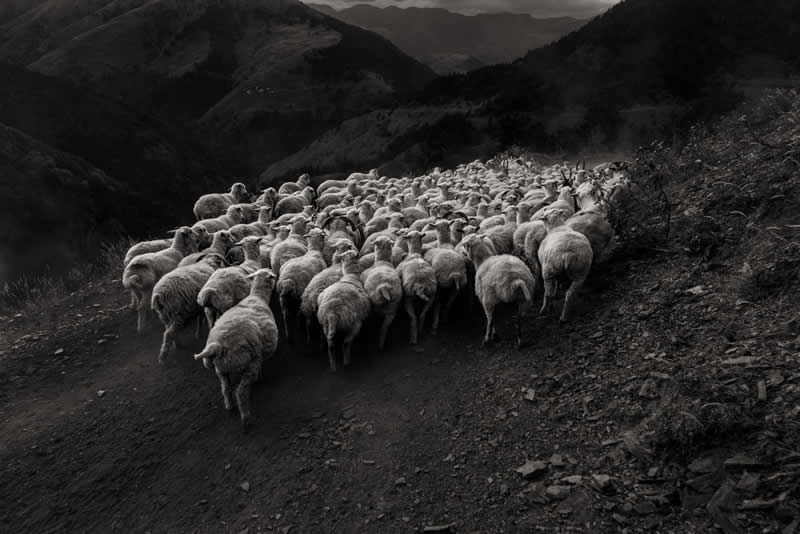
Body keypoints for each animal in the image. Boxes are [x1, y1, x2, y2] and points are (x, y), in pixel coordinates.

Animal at [194, 268, 279, 430]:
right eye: (270, 275)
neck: (257, 296)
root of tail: (217, 346)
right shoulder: (258, 356)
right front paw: (261, 377)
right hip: (249, 363)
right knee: (241, 392)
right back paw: (246, 418)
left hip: (221, 370)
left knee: (226, 389)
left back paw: (229, 406)